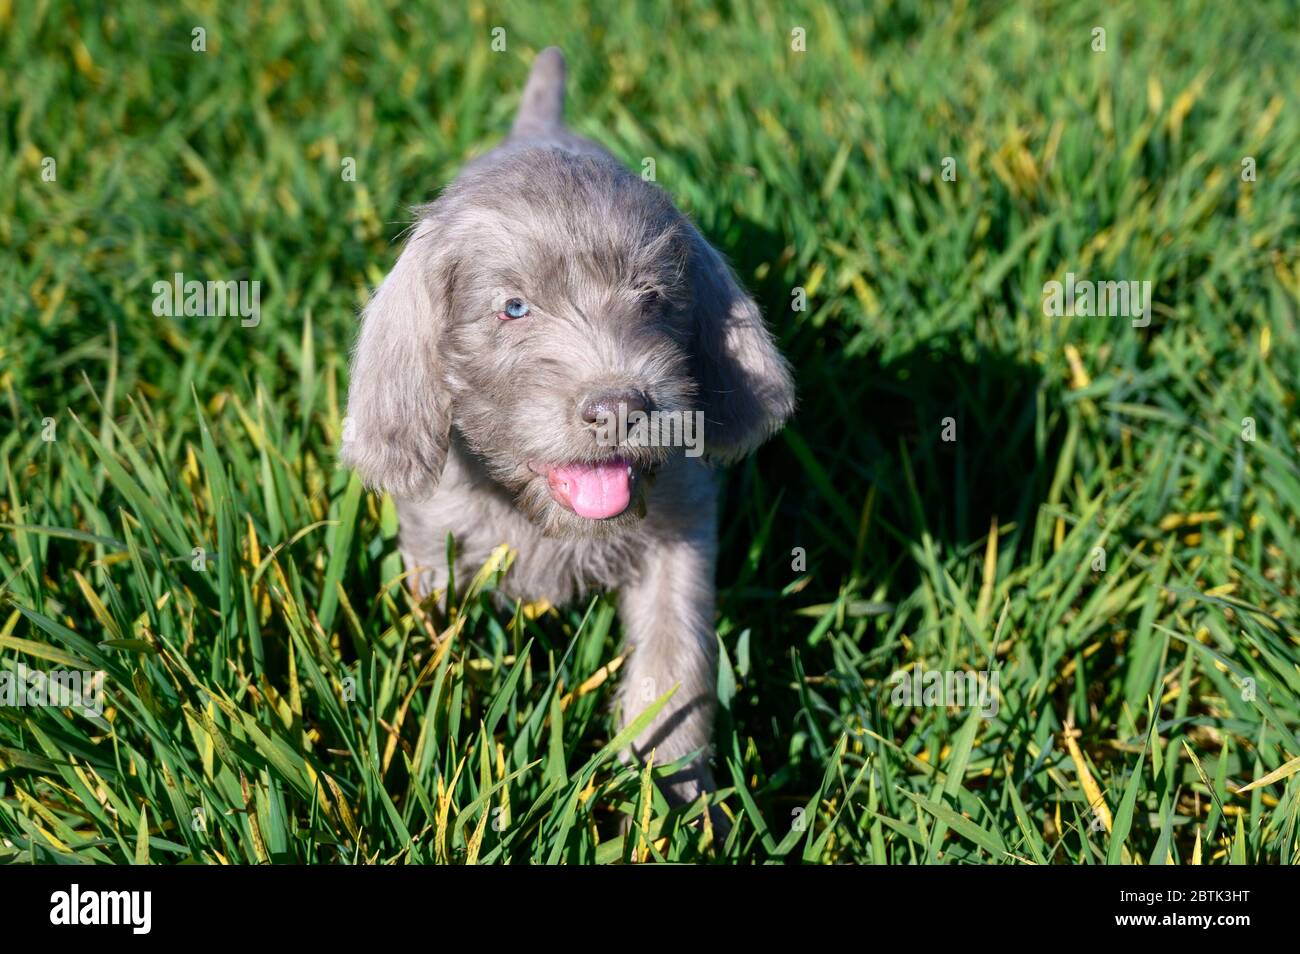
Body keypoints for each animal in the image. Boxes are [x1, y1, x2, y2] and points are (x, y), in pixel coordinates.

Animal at [340, 44, 790, 821]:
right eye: (515, 307)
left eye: (653, 298)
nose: (619, 406)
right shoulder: (433, 555)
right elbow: (440, 655)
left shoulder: (680, 533)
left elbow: (674, 667)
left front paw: (674, 799)